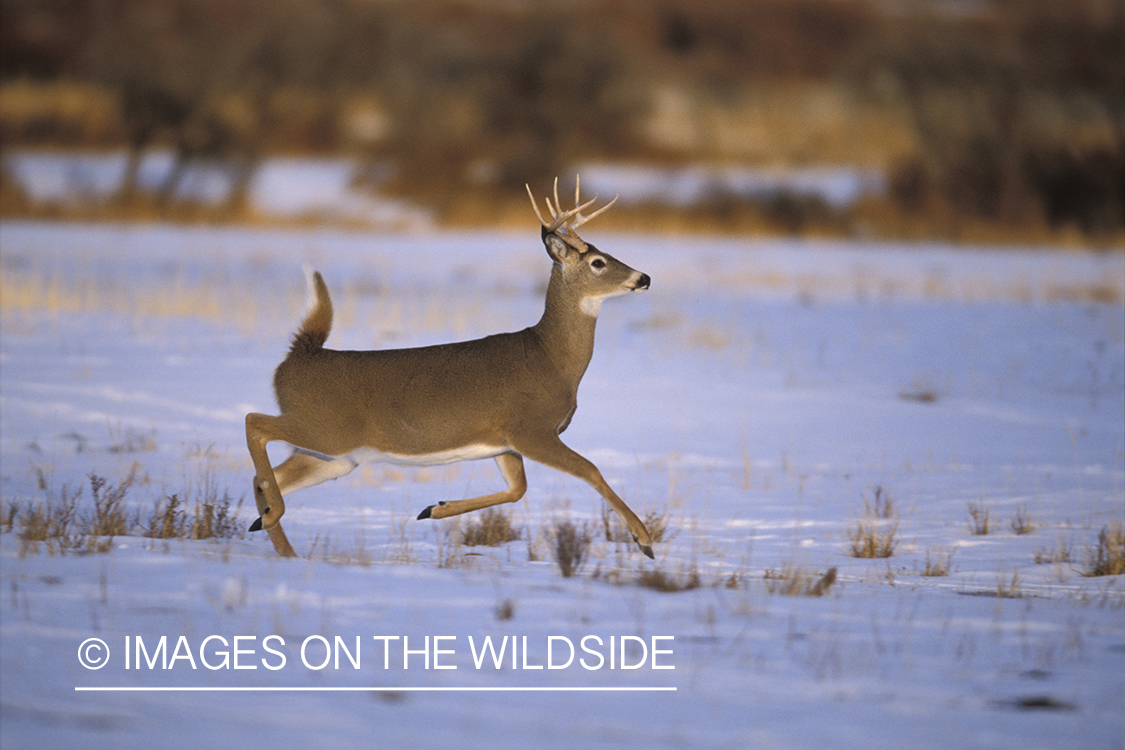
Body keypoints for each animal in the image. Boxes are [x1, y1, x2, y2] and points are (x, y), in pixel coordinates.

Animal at [244, 178, 652, 559]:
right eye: (598, 262)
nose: (644, 278)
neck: (552, 358)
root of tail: (298, 356)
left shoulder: (504, 440)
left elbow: (517, 490)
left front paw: (433, 509)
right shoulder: (530, 427)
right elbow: (590, 470)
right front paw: (644, 538)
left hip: (337, 455)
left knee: (264, 477)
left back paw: (279, 542)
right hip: (327, 429)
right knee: (255, 424)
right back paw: (273, 517)